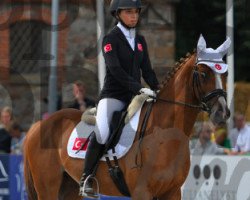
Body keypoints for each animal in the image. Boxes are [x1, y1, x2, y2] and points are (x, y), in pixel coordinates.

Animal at [23, 50, 230, 199]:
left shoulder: (172, 192)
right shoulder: (142, 192)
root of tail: (38, 125)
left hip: (70, 189)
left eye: (225, 74)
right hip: (47, 188)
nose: (223, 113)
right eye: (203, 74)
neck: (165, 133)